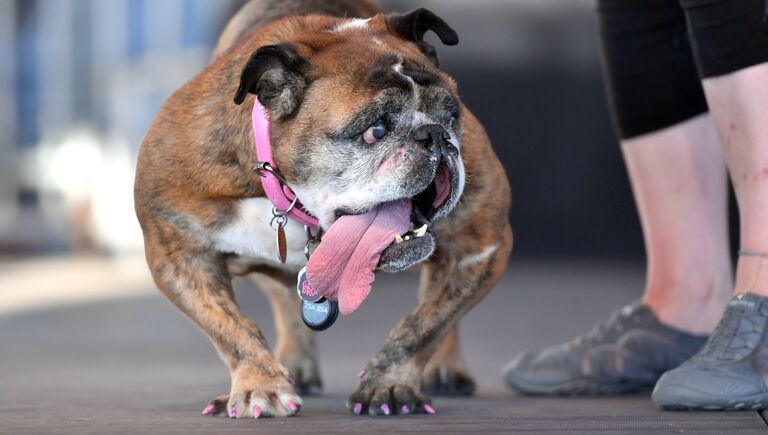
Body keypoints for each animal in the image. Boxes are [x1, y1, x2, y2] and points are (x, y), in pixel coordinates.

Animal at [136, 0, 512, 418]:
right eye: (376, 130)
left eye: (452, 116)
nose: (436, 136)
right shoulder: (178, 255)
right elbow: (230, 328)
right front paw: (260, 385)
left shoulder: (480, 245)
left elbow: (427, 323)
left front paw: (389, 383)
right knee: (283, 295)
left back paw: (446, 368)